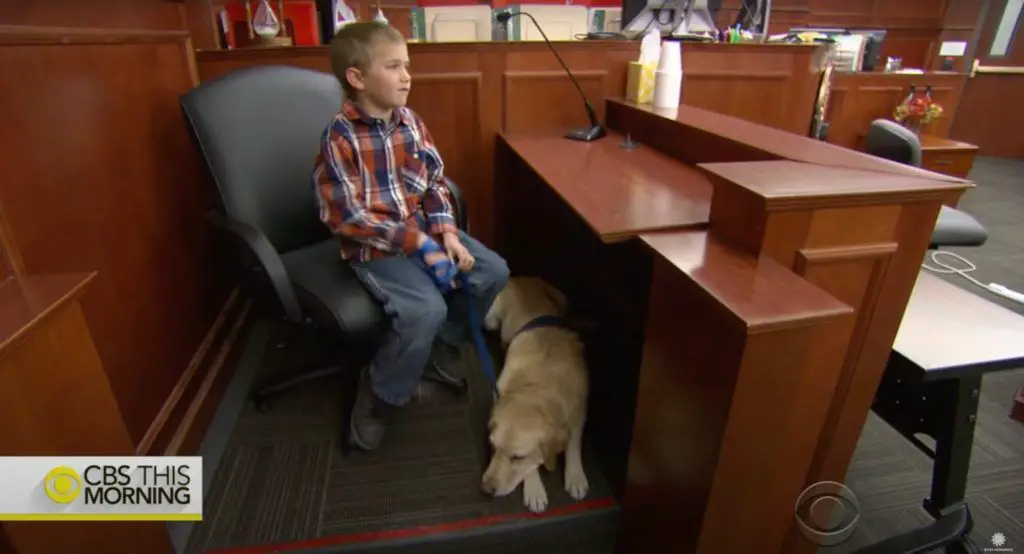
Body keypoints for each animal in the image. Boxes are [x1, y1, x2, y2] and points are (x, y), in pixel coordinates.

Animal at [477, 278, 589, 512]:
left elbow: (574, 442)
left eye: (517, 457)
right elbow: (532, 467)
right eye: (493, 447)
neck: (538, 387)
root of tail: (518, 278)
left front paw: (576, 477)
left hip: (563, 298)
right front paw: (534, 489)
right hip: (491, 320)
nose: (486, 489)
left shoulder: (580, 409)